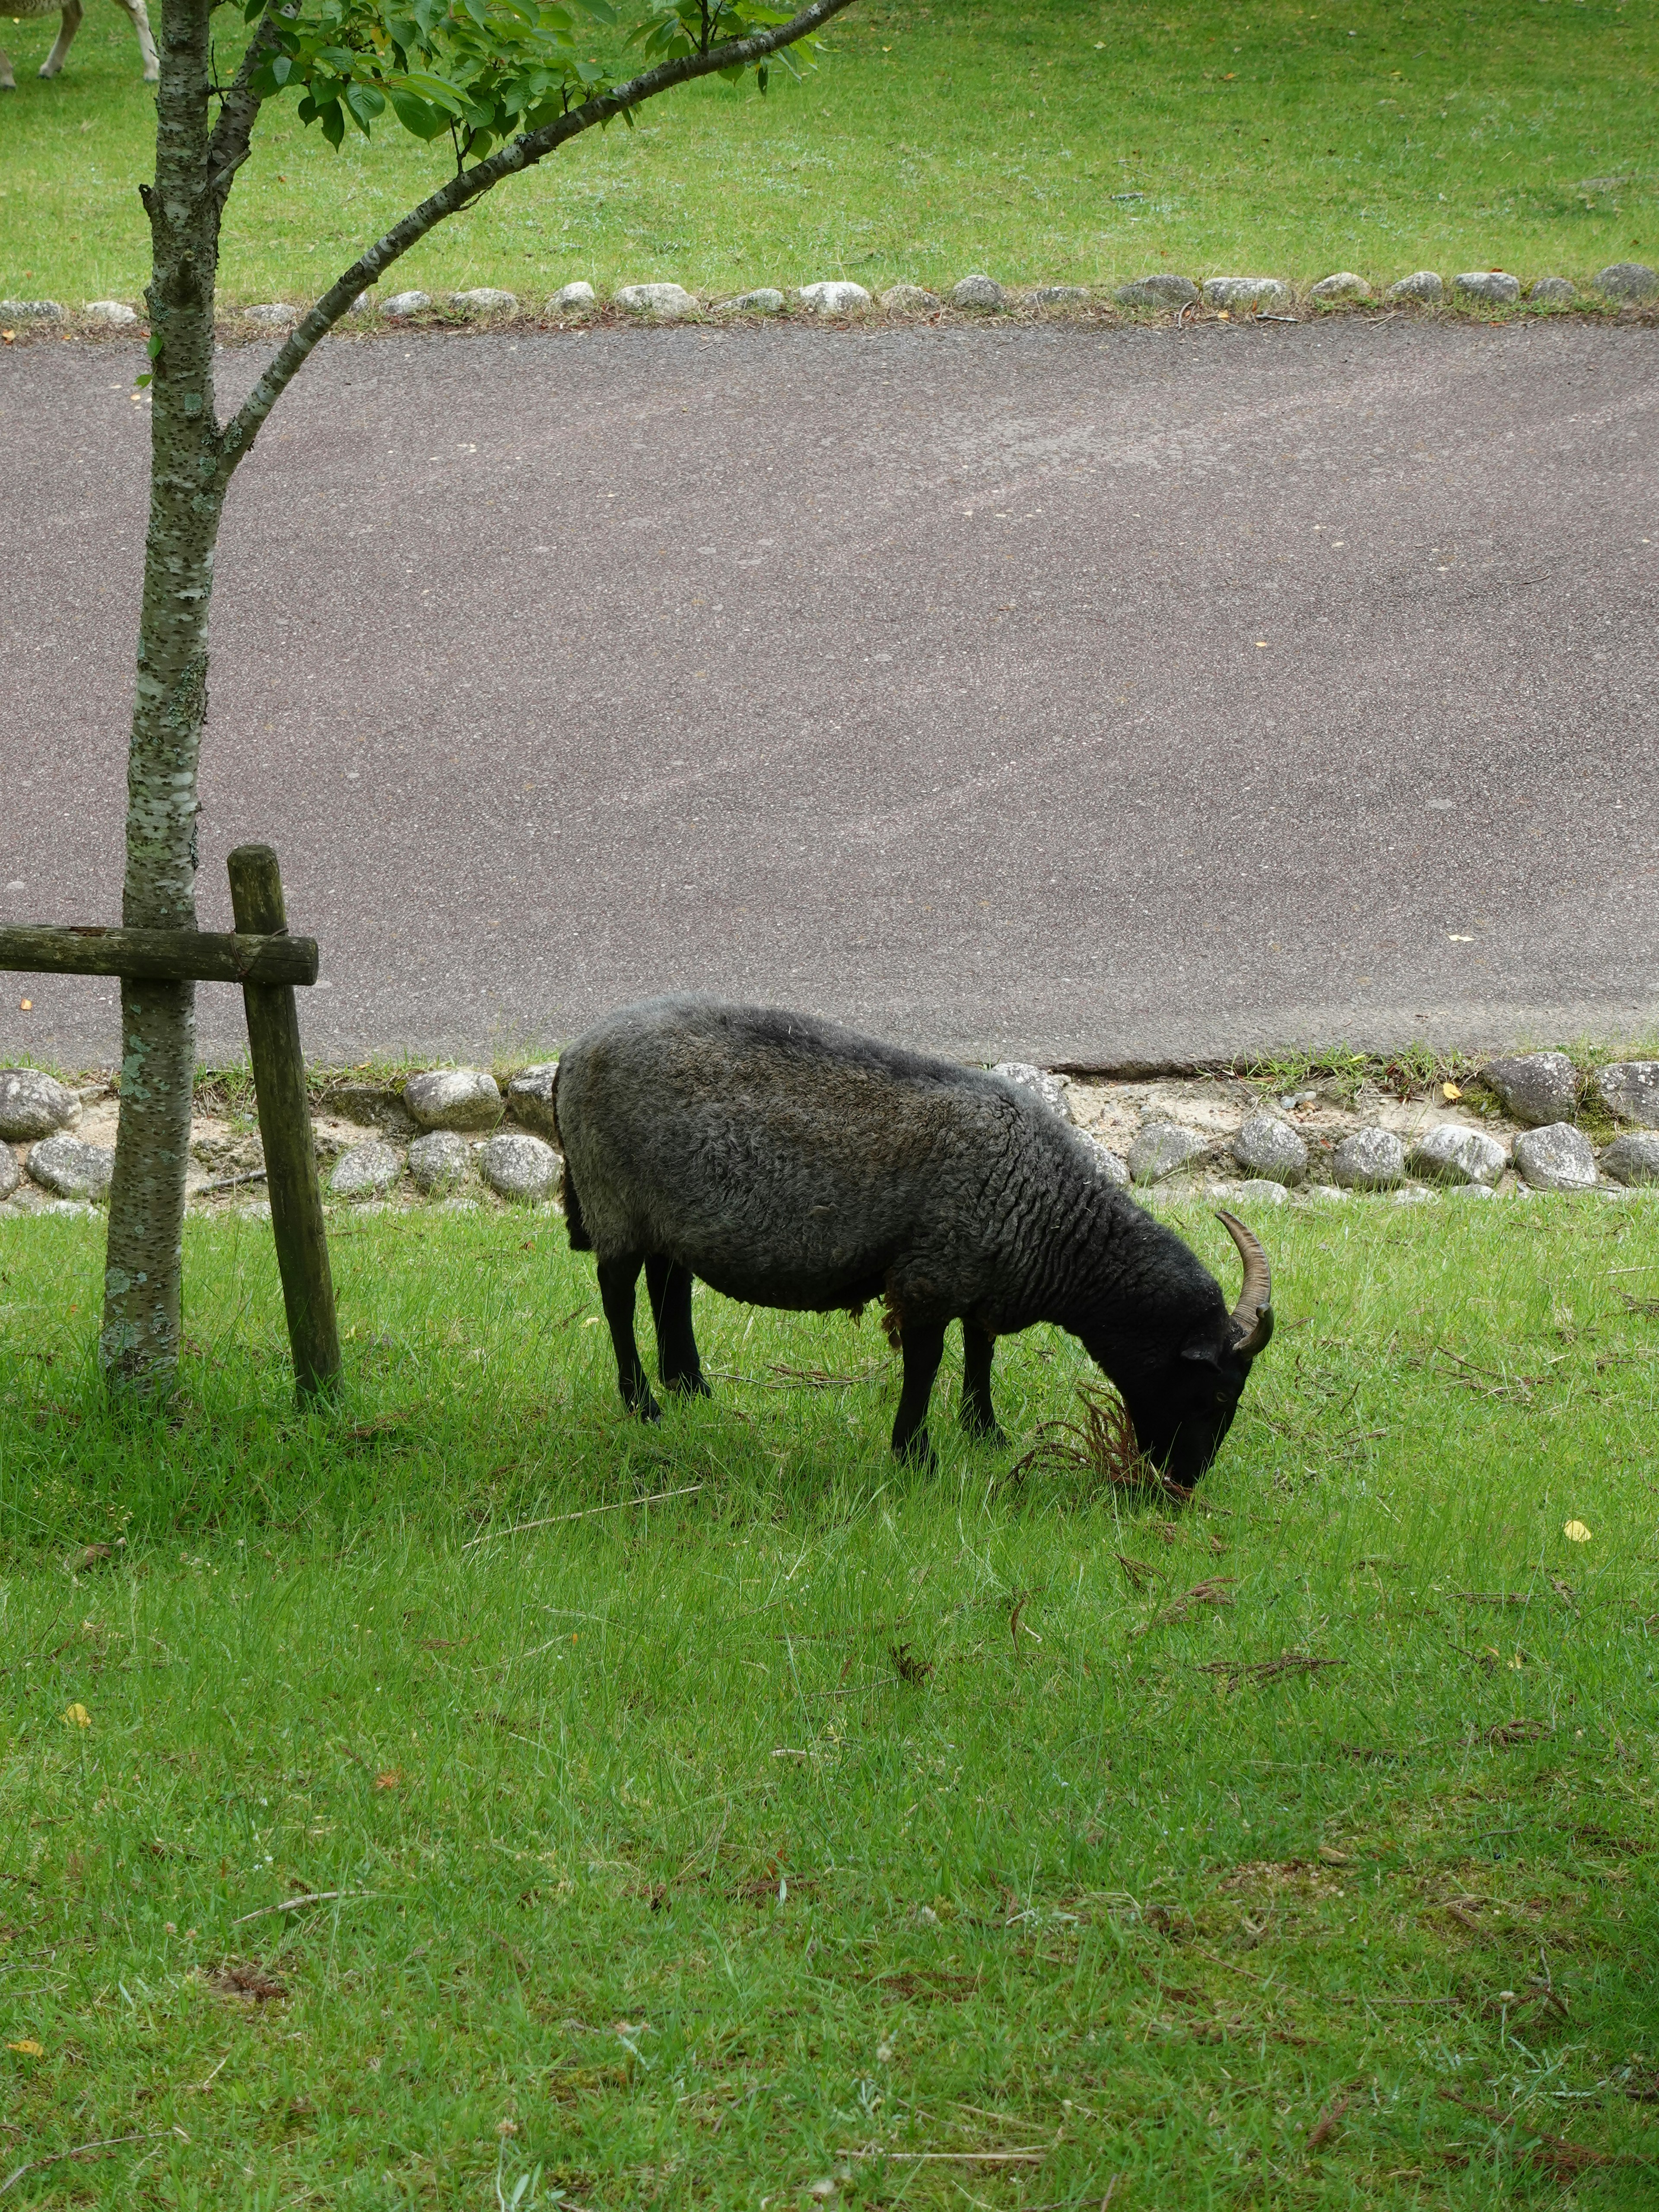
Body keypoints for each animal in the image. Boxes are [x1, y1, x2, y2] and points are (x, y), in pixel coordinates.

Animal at [553, 1000, 1283, 1486]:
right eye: (1218, 1395)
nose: (1184, 1485)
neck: (1050, 1216)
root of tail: (572, 1052)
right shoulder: (929, 1277)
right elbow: (927, 1364)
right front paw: (916, 1455)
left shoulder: (981, 1276)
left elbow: (981, 1350)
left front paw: (985, 1433)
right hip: (612, 1195)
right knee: (618, 1295)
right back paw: (644, 1402)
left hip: (670, 1211)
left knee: (669, 1283)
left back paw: (691, 1386)